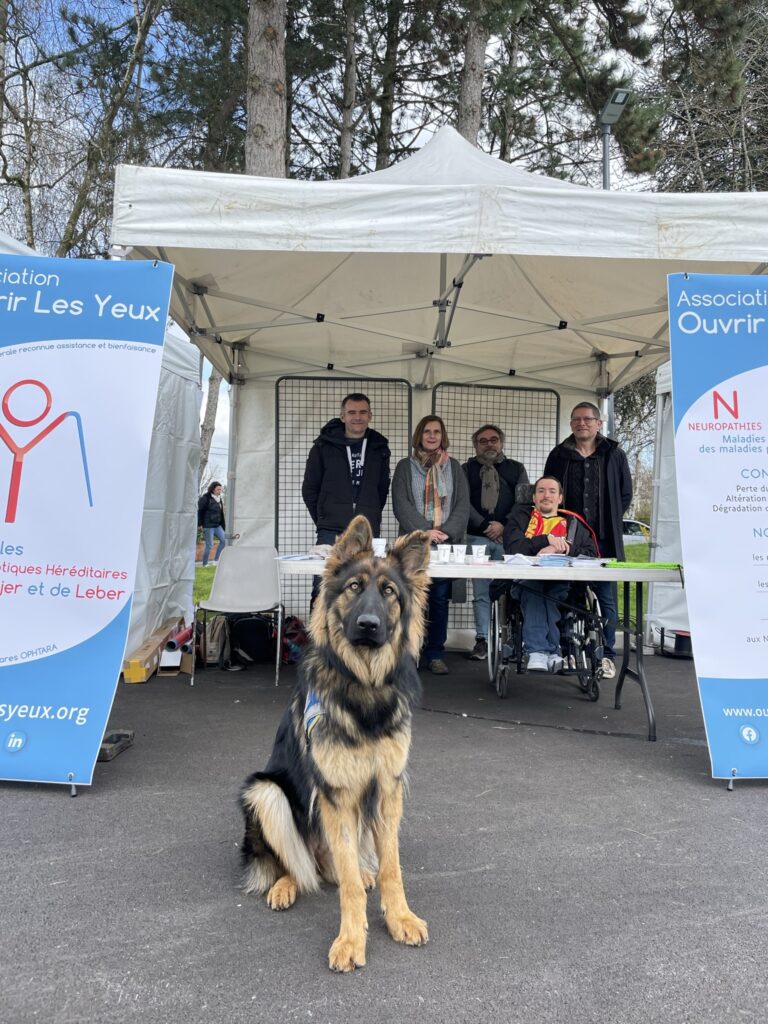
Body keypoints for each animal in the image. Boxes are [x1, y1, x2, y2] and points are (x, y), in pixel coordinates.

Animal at [240, 516, 434, 970]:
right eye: (354, 587)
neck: (363, 686)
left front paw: (400, 918)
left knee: (329, 865)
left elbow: (391, 868)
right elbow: (345, 883)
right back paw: (284, 886)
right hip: (265, 791)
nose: (368, 625)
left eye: (389, 592)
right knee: (296, 863)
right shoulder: (337, 794)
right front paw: (351, 940)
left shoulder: (387, 790)